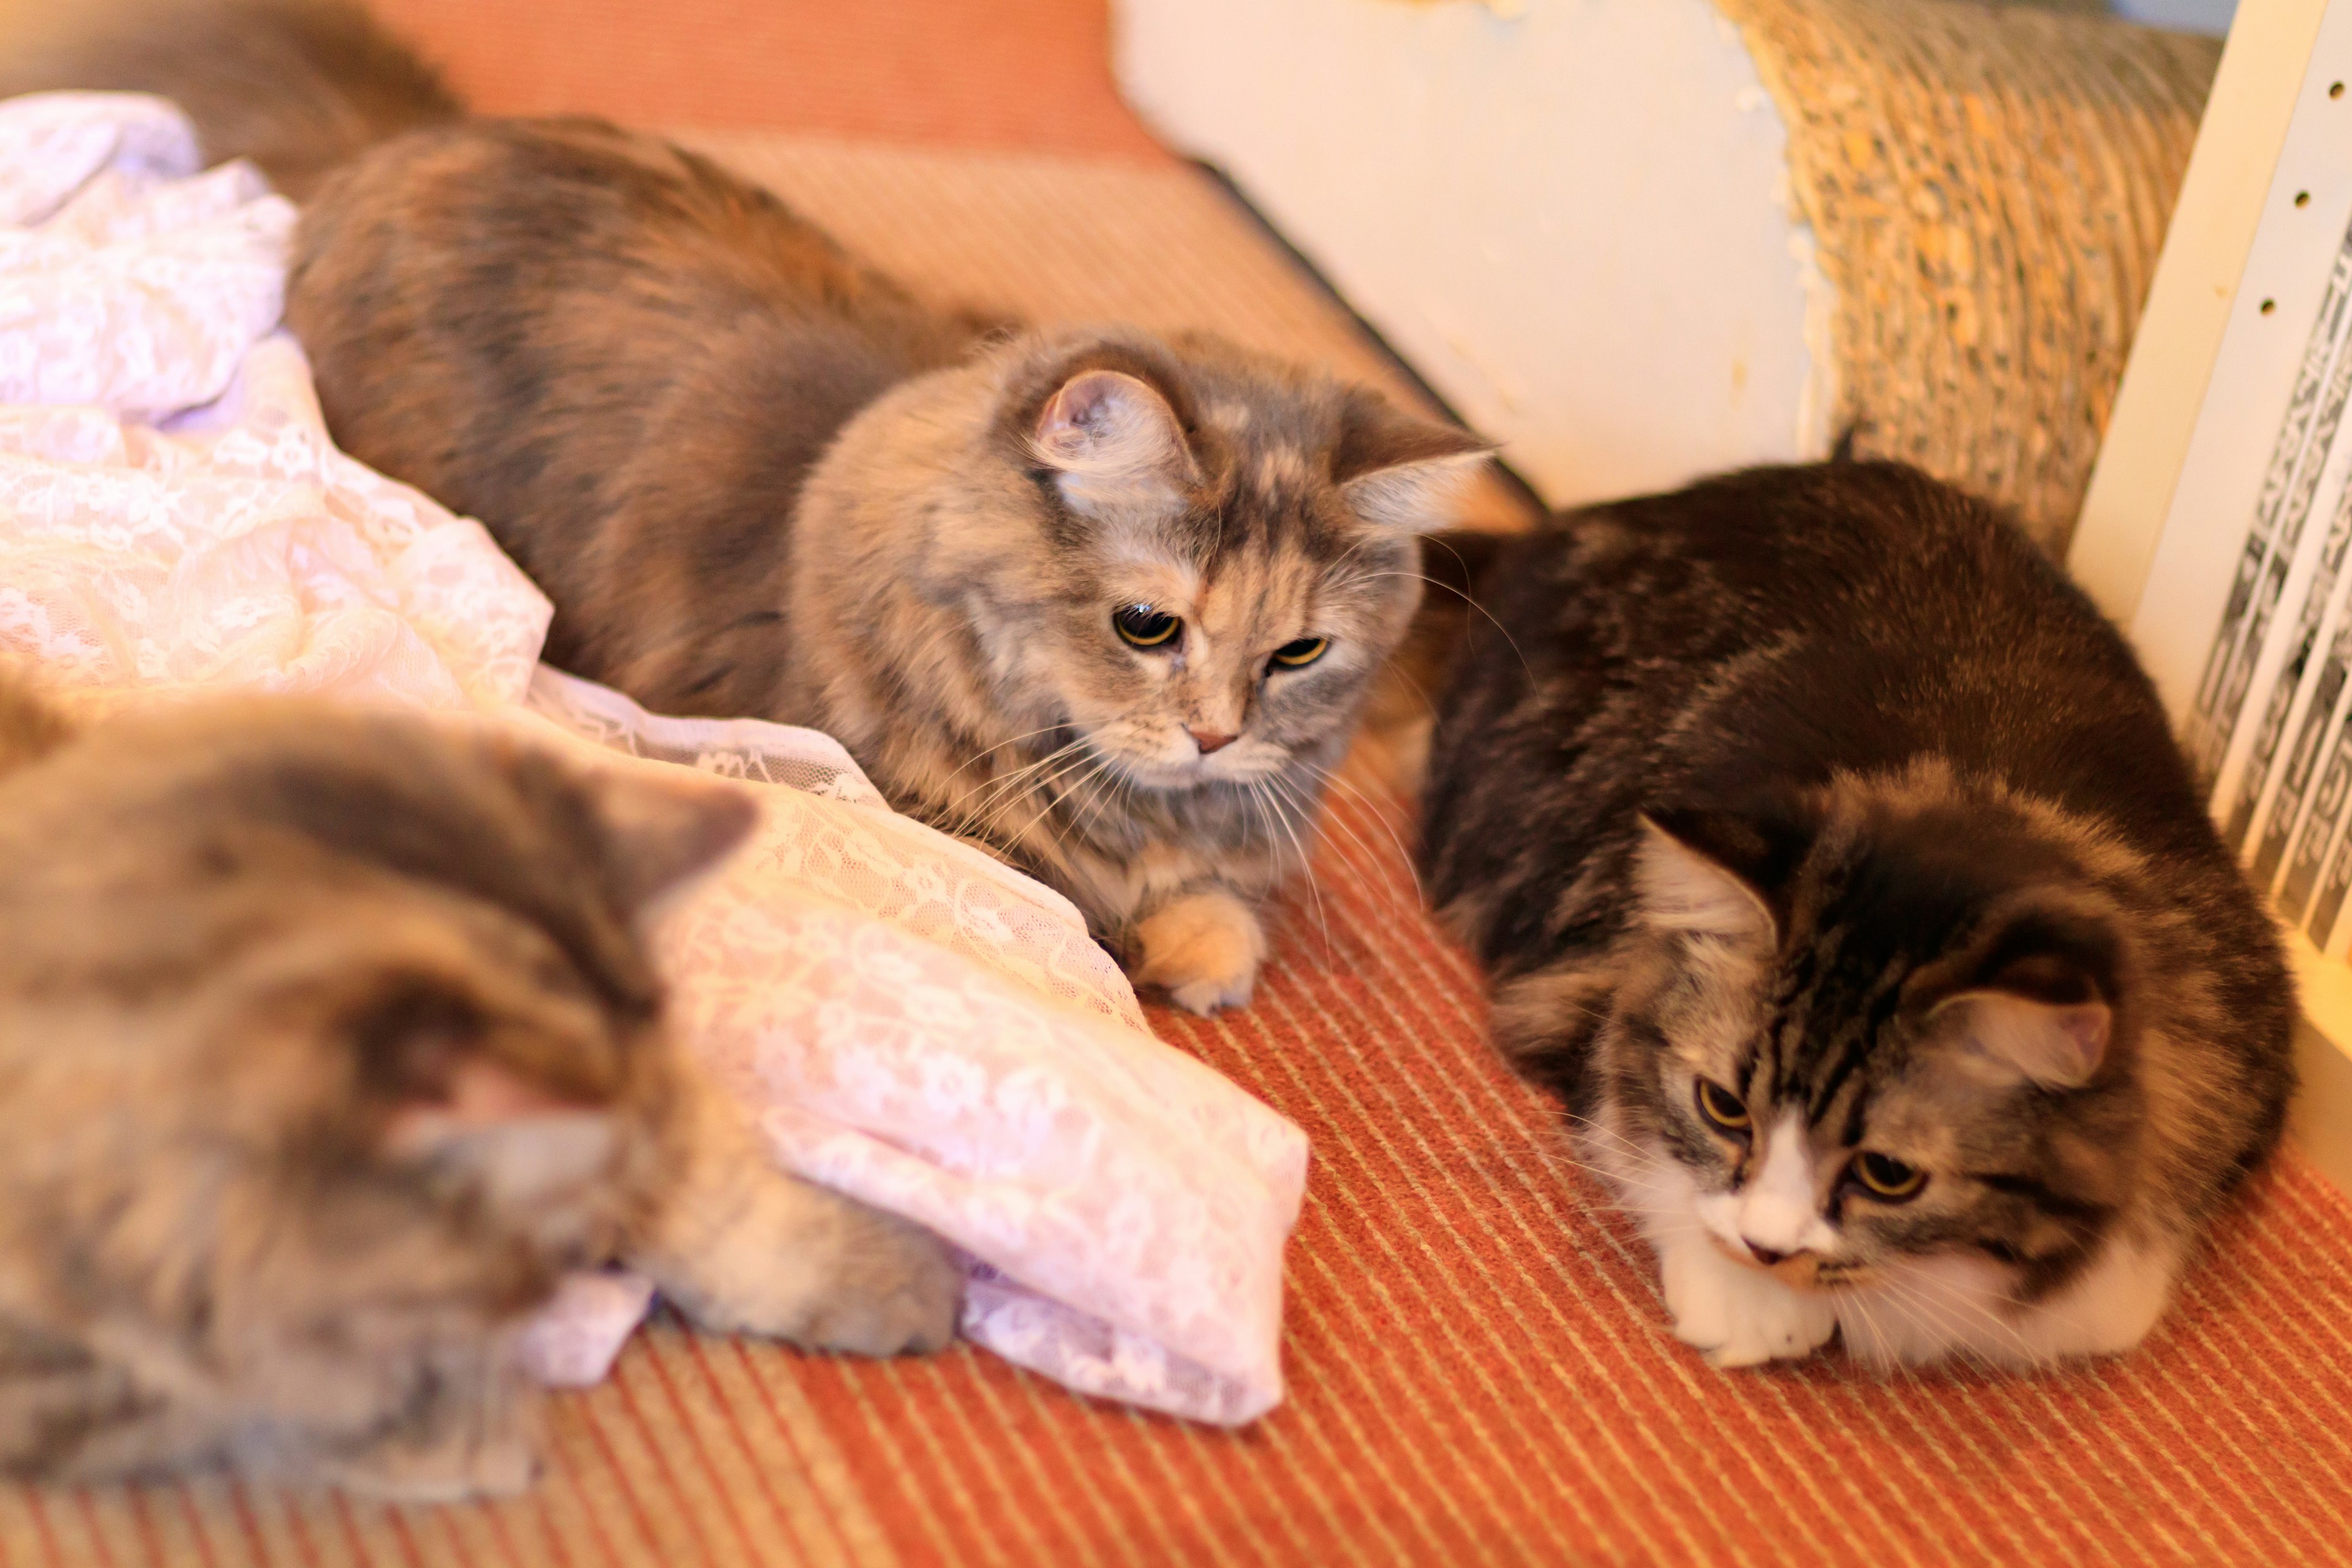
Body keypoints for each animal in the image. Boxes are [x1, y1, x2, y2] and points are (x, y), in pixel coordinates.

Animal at [0, 686, 964, 1495]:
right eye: (556, 1260)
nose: (578, 1271)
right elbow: (305, 1409)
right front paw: (480, 1439)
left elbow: (720, 1207)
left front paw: (896, 1278)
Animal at [4, 0, 1486, 1020]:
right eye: (1147, 626)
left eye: (1300, 652)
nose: (1217, 736)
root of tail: (413, 141)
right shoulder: (912, 802)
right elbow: (1097, 905)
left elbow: (1227, 909)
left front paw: (1206, 935)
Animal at [1411, 461, 2295, 1363]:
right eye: (1724, 1108)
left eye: (1888, 1175)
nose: (1765, 1246)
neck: (1982, 782)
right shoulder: (1585, 992)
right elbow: (1652, 1158)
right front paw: (1752, 1301)